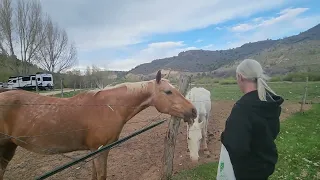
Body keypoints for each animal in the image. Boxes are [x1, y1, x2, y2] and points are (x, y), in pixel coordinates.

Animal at [0, 70, 195, 180]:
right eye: (168, 92)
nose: (193, 111)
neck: (107, 107)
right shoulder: (101, 150)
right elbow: (102, 175)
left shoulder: (95, 151)